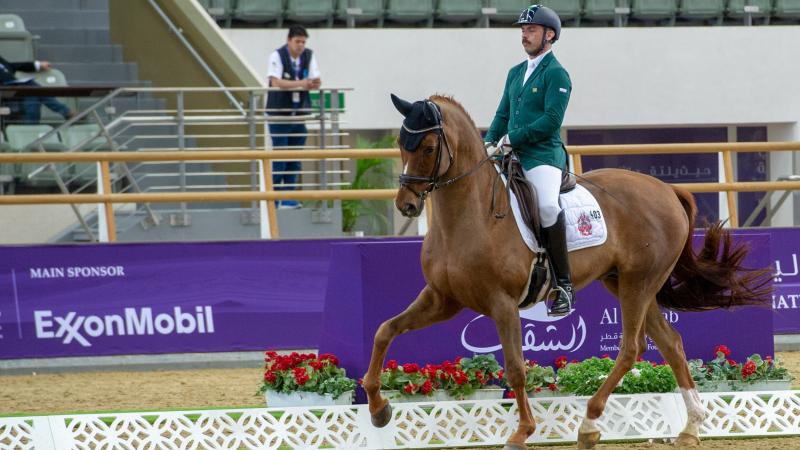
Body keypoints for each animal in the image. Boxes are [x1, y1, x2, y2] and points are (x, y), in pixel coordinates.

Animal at [360, 93, 772, 448]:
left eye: (429, 148)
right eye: (400, 144)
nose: (407, 205)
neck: (468, 215)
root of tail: (667, 190)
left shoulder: (502, 303)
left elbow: (515, 367)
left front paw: (522, 432)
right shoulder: (443, 299)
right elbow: (384, 330)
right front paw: (379, 409)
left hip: (638, 284)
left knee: (632, 347)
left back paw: (589, 423)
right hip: (627, 283)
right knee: (670, 342)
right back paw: (689, 427)